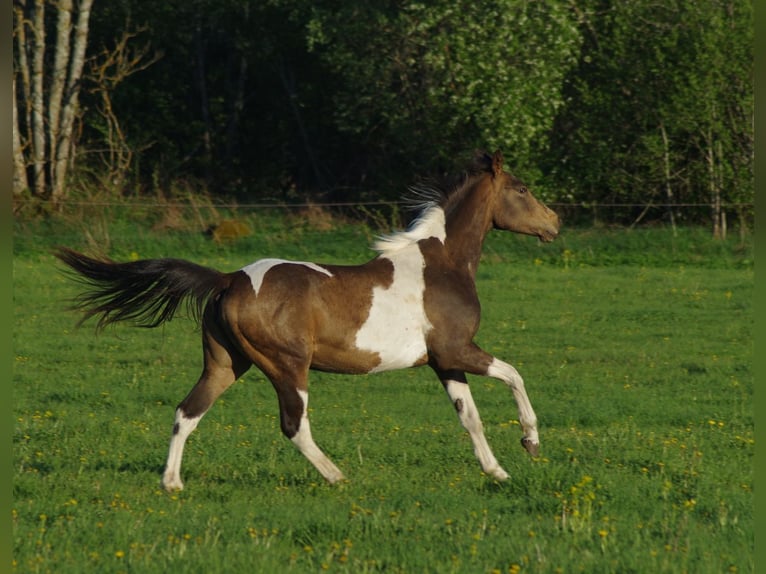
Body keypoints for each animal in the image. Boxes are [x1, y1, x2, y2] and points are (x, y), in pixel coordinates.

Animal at [52, 151, 560, 492]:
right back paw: (338, 475)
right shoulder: (457, 349)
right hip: (287, 365)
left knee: (187, 411)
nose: (554, 224)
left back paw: (172, 483)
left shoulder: (444, 361)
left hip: (225, 364)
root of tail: (229, 279)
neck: (442, 264)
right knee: (294, 425)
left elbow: (469, 417)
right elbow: (514, 375)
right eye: (521, 189)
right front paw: (531, 443)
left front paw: (497, 471)